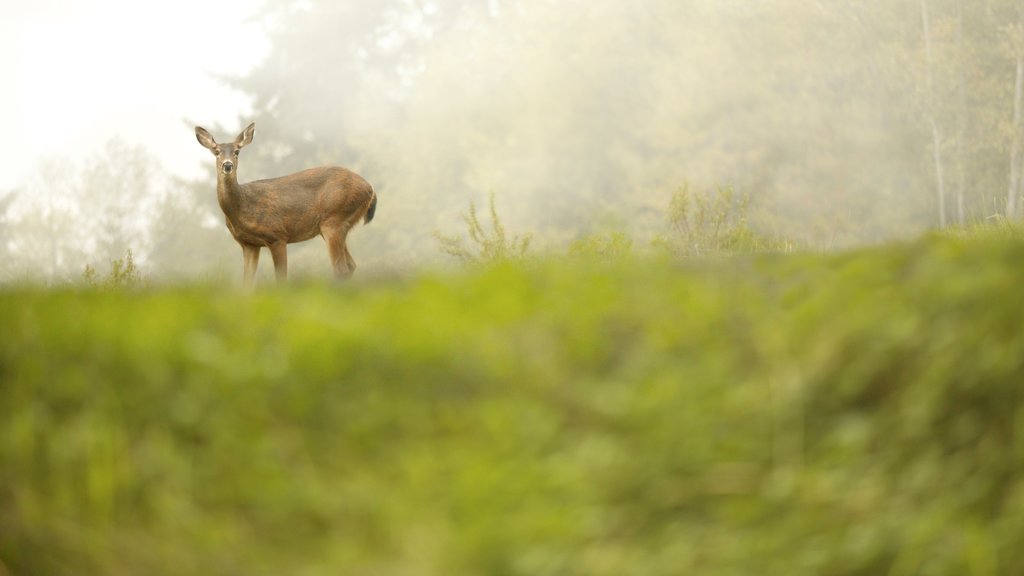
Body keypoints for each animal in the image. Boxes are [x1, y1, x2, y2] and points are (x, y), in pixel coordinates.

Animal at [192, 121, 376, 282]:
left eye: (237, 151)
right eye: (216, 152)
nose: (227, 165)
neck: (243, 207)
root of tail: (370, 189)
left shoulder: (277, 236)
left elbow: (281, 278)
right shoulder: (249, 244)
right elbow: (247, 283)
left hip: (334, 220)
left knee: (341, 269)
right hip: (332, 226)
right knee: (351, 266)